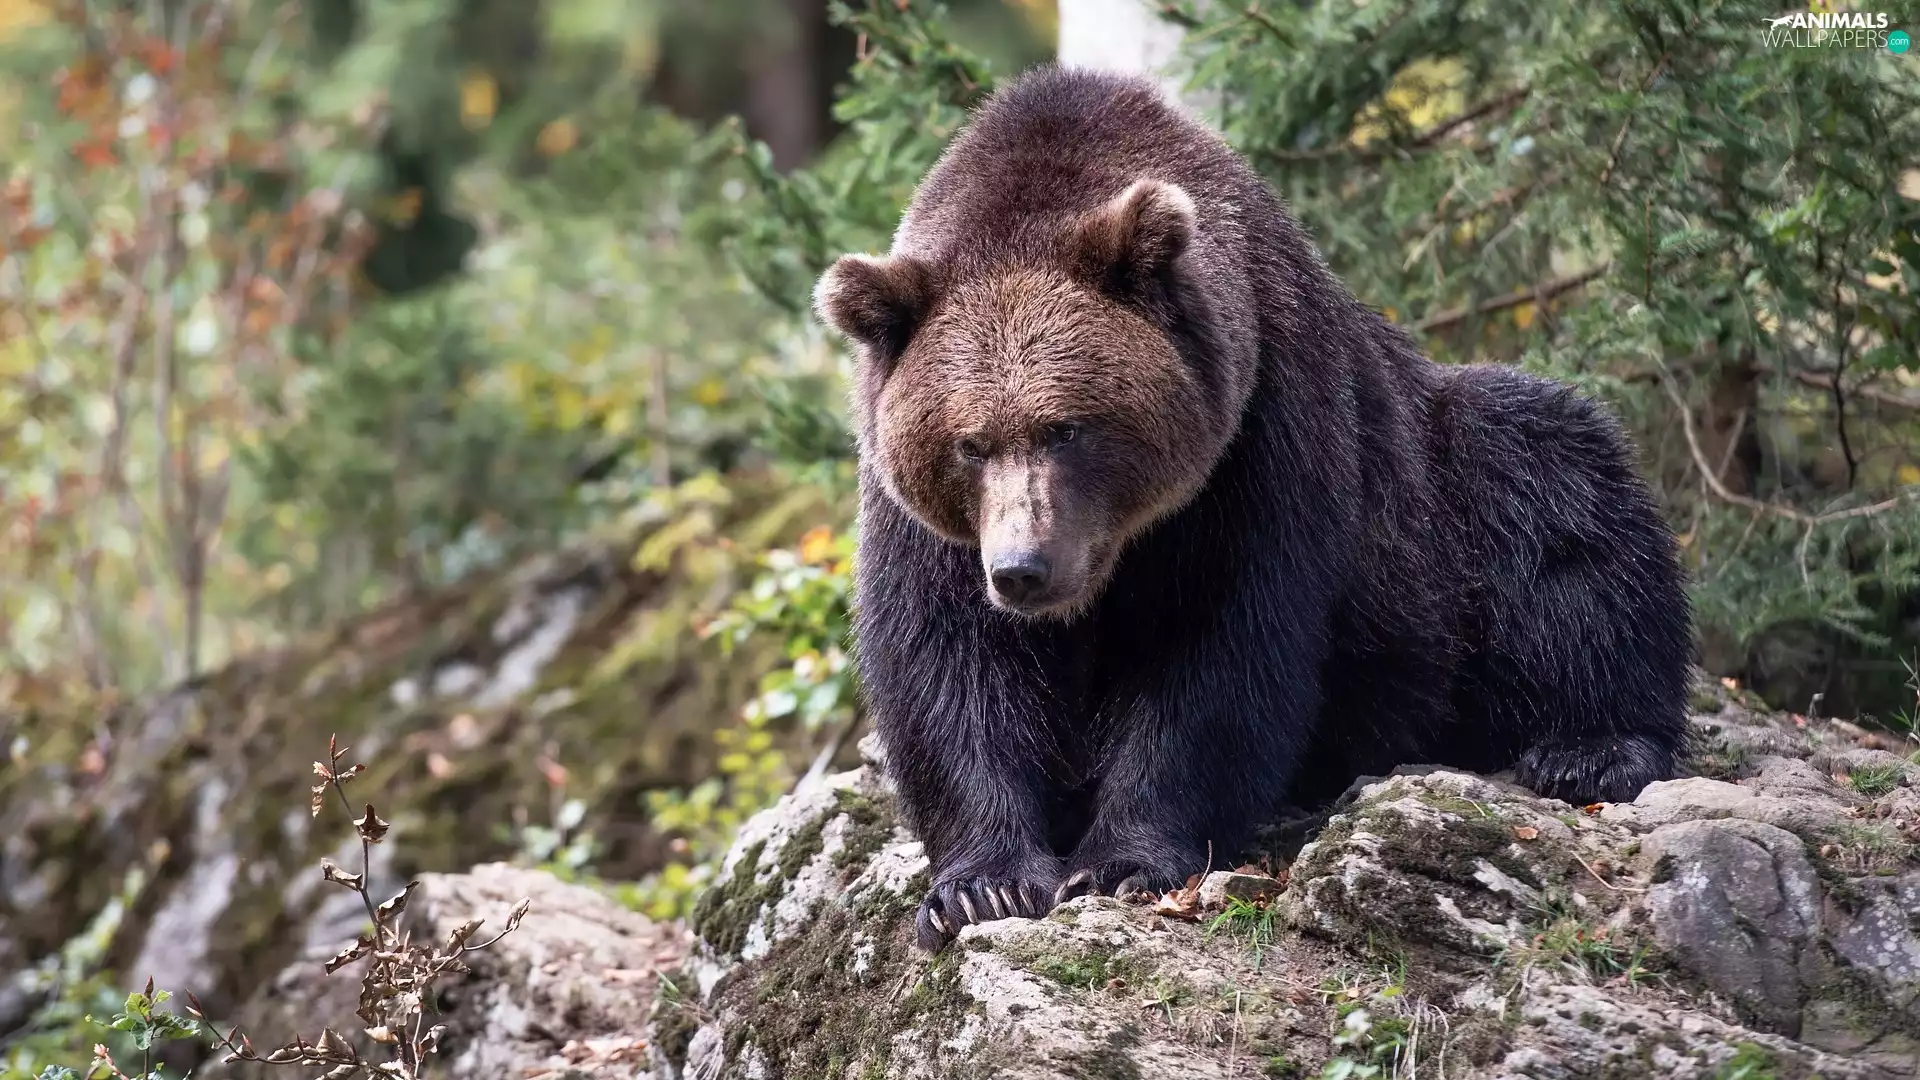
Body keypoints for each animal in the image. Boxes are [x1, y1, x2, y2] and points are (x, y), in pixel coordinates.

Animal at [812, 66, 1692, 950]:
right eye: (969, 443)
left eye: (1067, 427)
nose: (1025, 569)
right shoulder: (923, 520)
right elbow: (950, 663)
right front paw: (980, 885)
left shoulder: (1261, 433)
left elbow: (1217, 651)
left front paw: (1125, 861)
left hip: (1441, 507)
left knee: (1555, 490)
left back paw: (1591, 747)